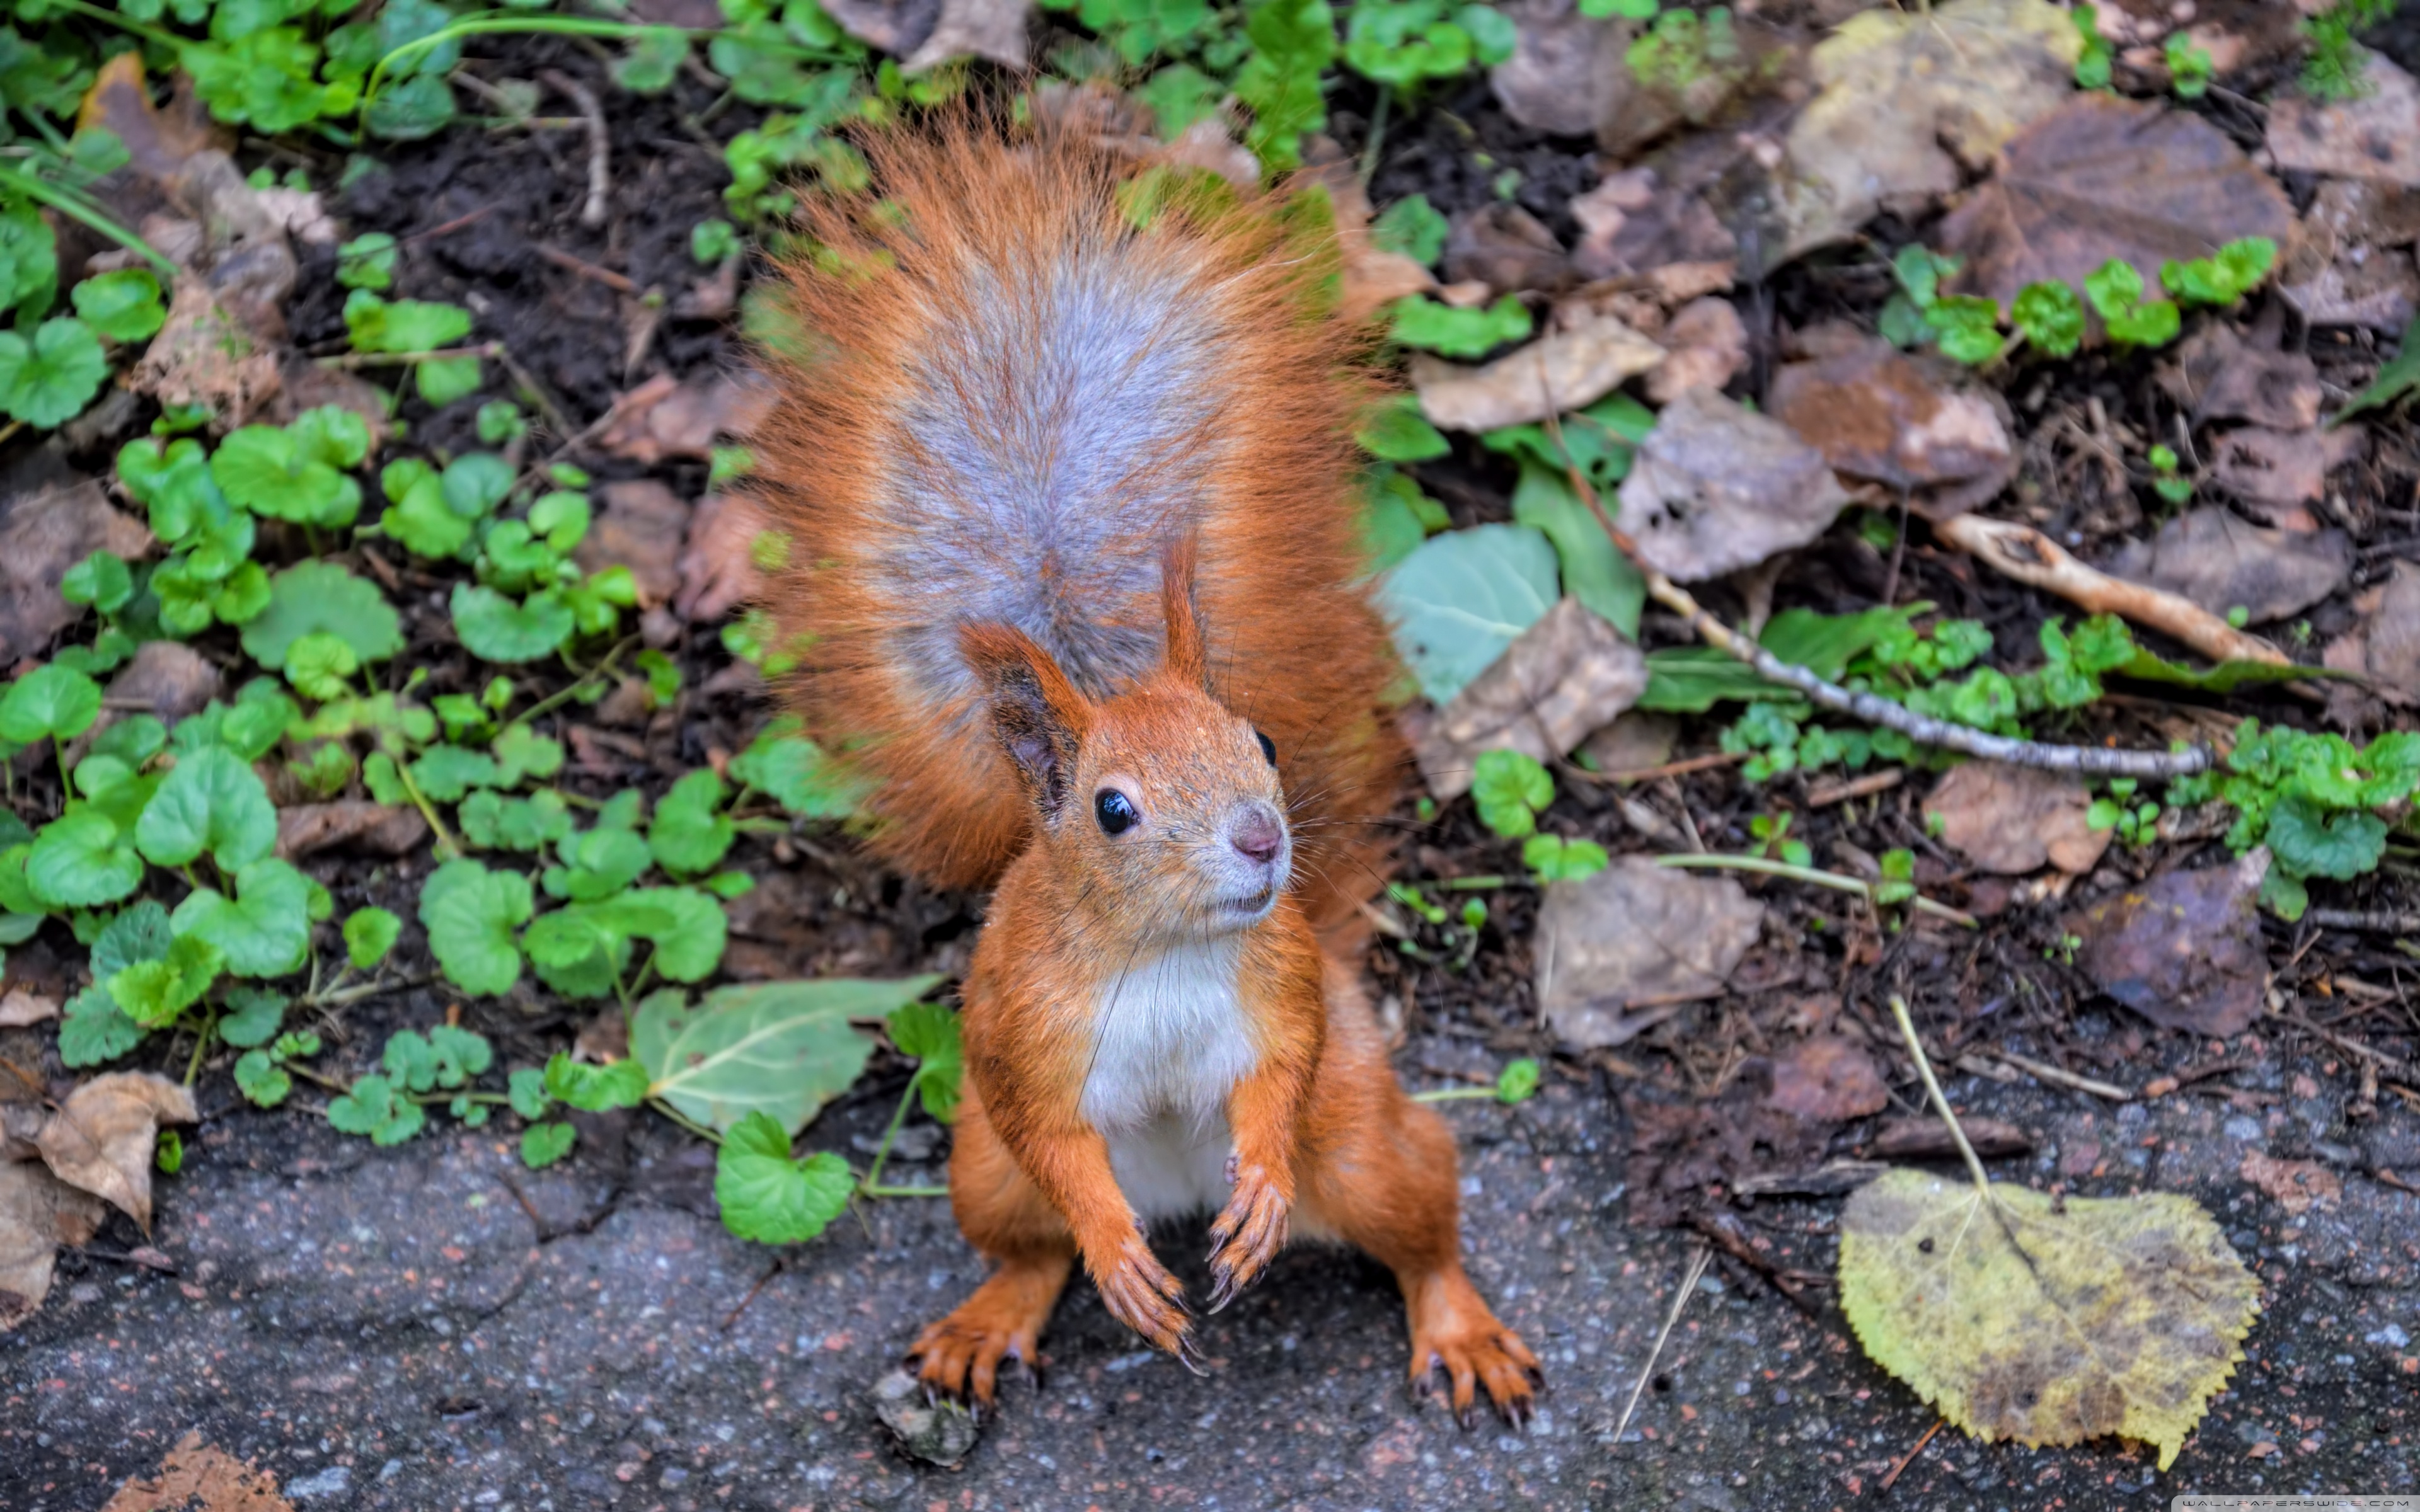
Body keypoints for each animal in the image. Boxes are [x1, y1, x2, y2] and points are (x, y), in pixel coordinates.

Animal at [755, 121, 1539, 1422]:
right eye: (1113, 809)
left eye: (1261, 742)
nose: (1264, 841)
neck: (1165, 954)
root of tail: (1180, 1199)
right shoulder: (1019, 1034)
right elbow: (1056, 1146)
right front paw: (1117, 1256)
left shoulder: (1285, 990)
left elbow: (1278, 1075)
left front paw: (1261, 1181)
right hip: (979, 1172)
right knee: (1030, 1247)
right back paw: (1001, 1316)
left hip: (1361, 1144)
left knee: (1423, 1218)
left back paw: (1455, 1322)